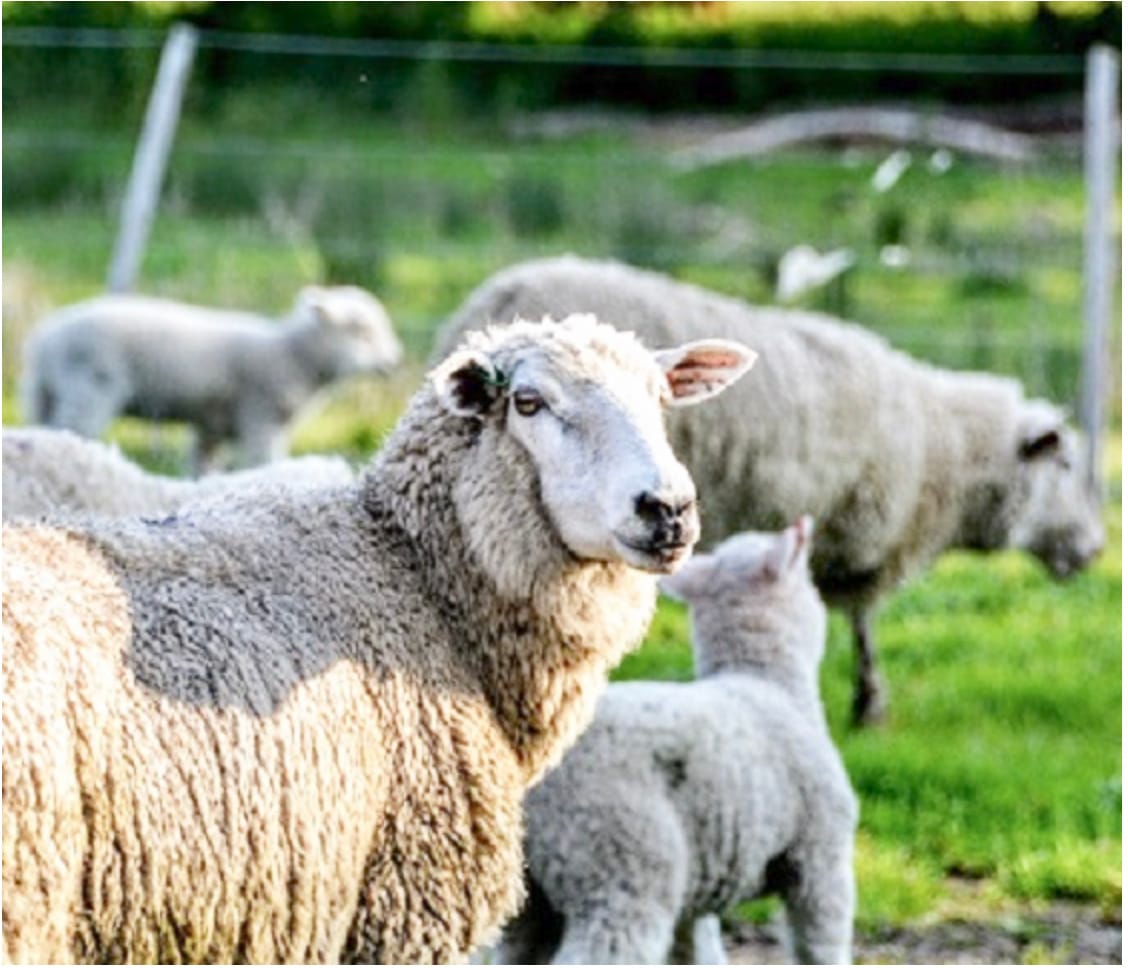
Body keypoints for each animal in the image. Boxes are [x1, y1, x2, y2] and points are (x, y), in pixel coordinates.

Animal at [20, 285, 404, 470]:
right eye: (360, 331)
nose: (394, 361)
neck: (293, 355)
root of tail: (44, 341)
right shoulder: (260, 416)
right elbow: (263, 462)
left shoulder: (212, 426)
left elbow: (204, 466)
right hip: (90, 387)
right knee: (70, 428)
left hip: (44, 393)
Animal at [434, 255, 1106, 724]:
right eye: (1067, 465)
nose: (1096, 551)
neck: (943, 445)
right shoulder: (860, 538)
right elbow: (863, 624)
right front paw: (869, 705)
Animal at [495, 518, 857, 965]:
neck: (770, 682)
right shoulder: (821, 856)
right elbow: (821, 945)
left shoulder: (697, 889)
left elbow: (697, 950)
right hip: (619, 860)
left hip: (531, 900)